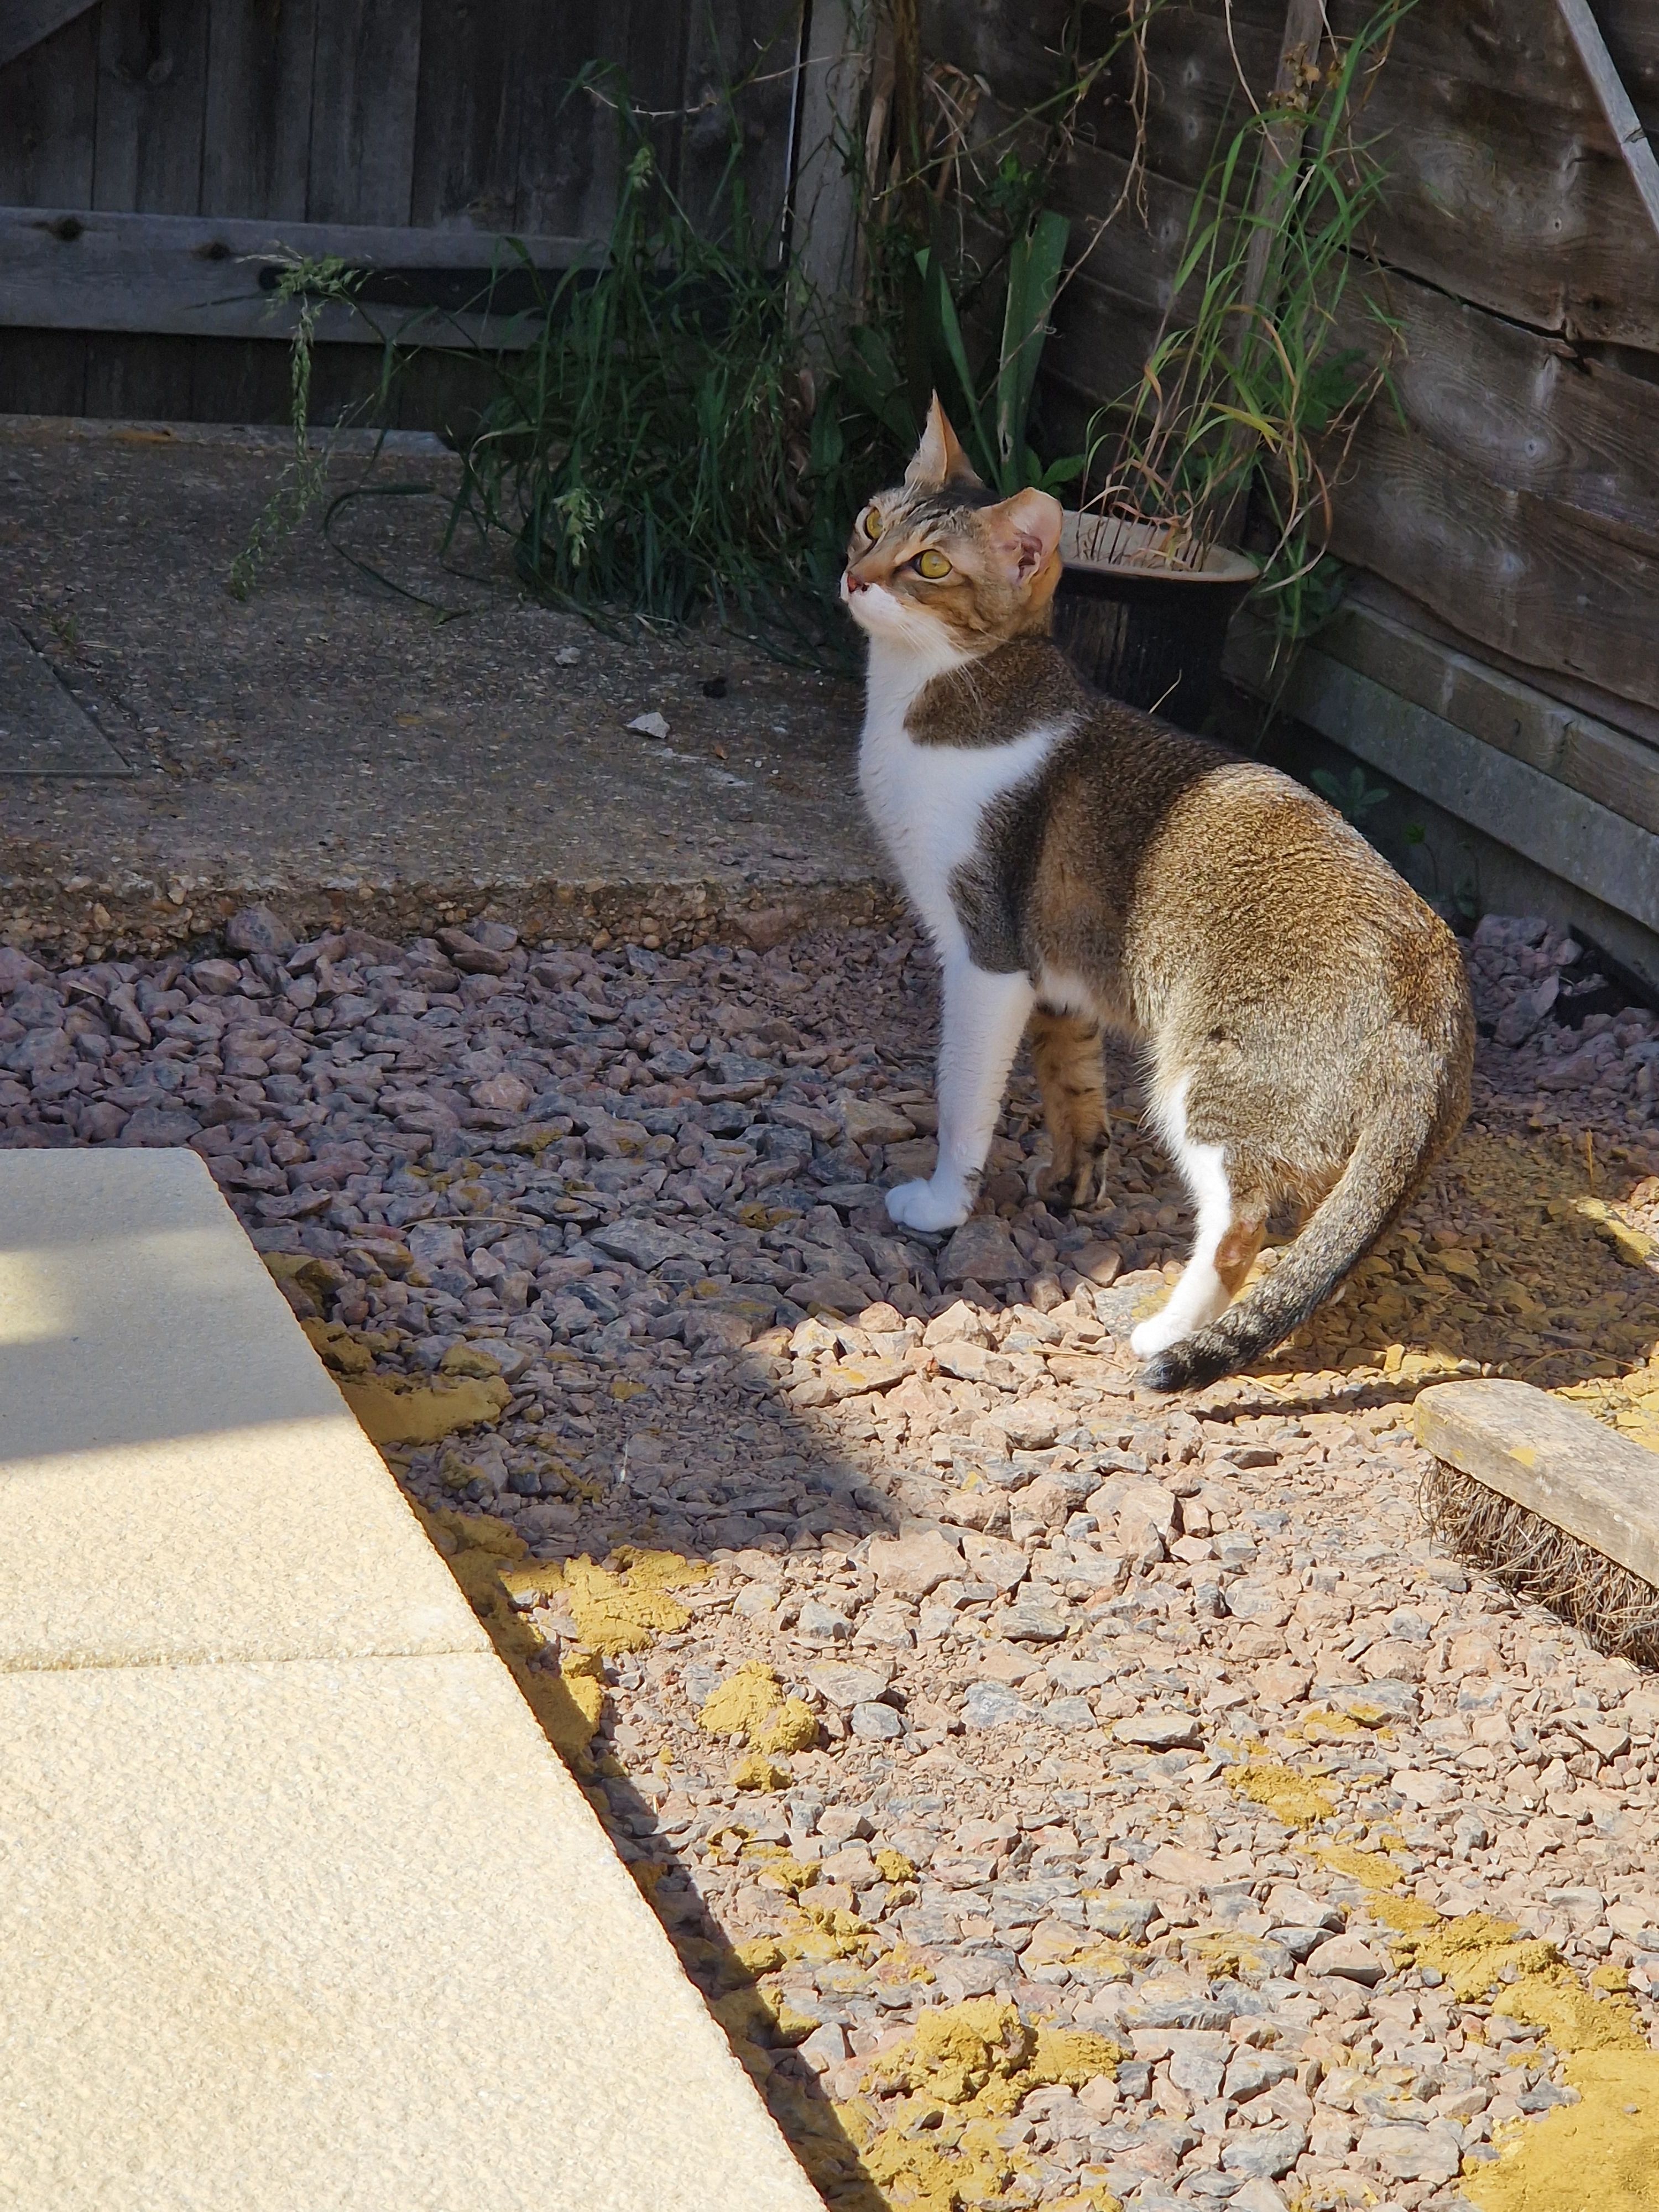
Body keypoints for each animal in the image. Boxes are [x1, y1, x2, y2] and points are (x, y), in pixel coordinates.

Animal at [843, 396, 1473, 1391]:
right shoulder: (1058, 976)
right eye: (873, 525)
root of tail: (1435, 985)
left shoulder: (987, 951)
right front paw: (1074, 1184)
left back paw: (1167, 1333)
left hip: (1211, 1083)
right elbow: (1071, 1084)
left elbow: (963, 1096)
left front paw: (944, 1203)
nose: (856, 577)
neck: (937, 695)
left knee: (1241, 1224)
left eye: (930, 566)